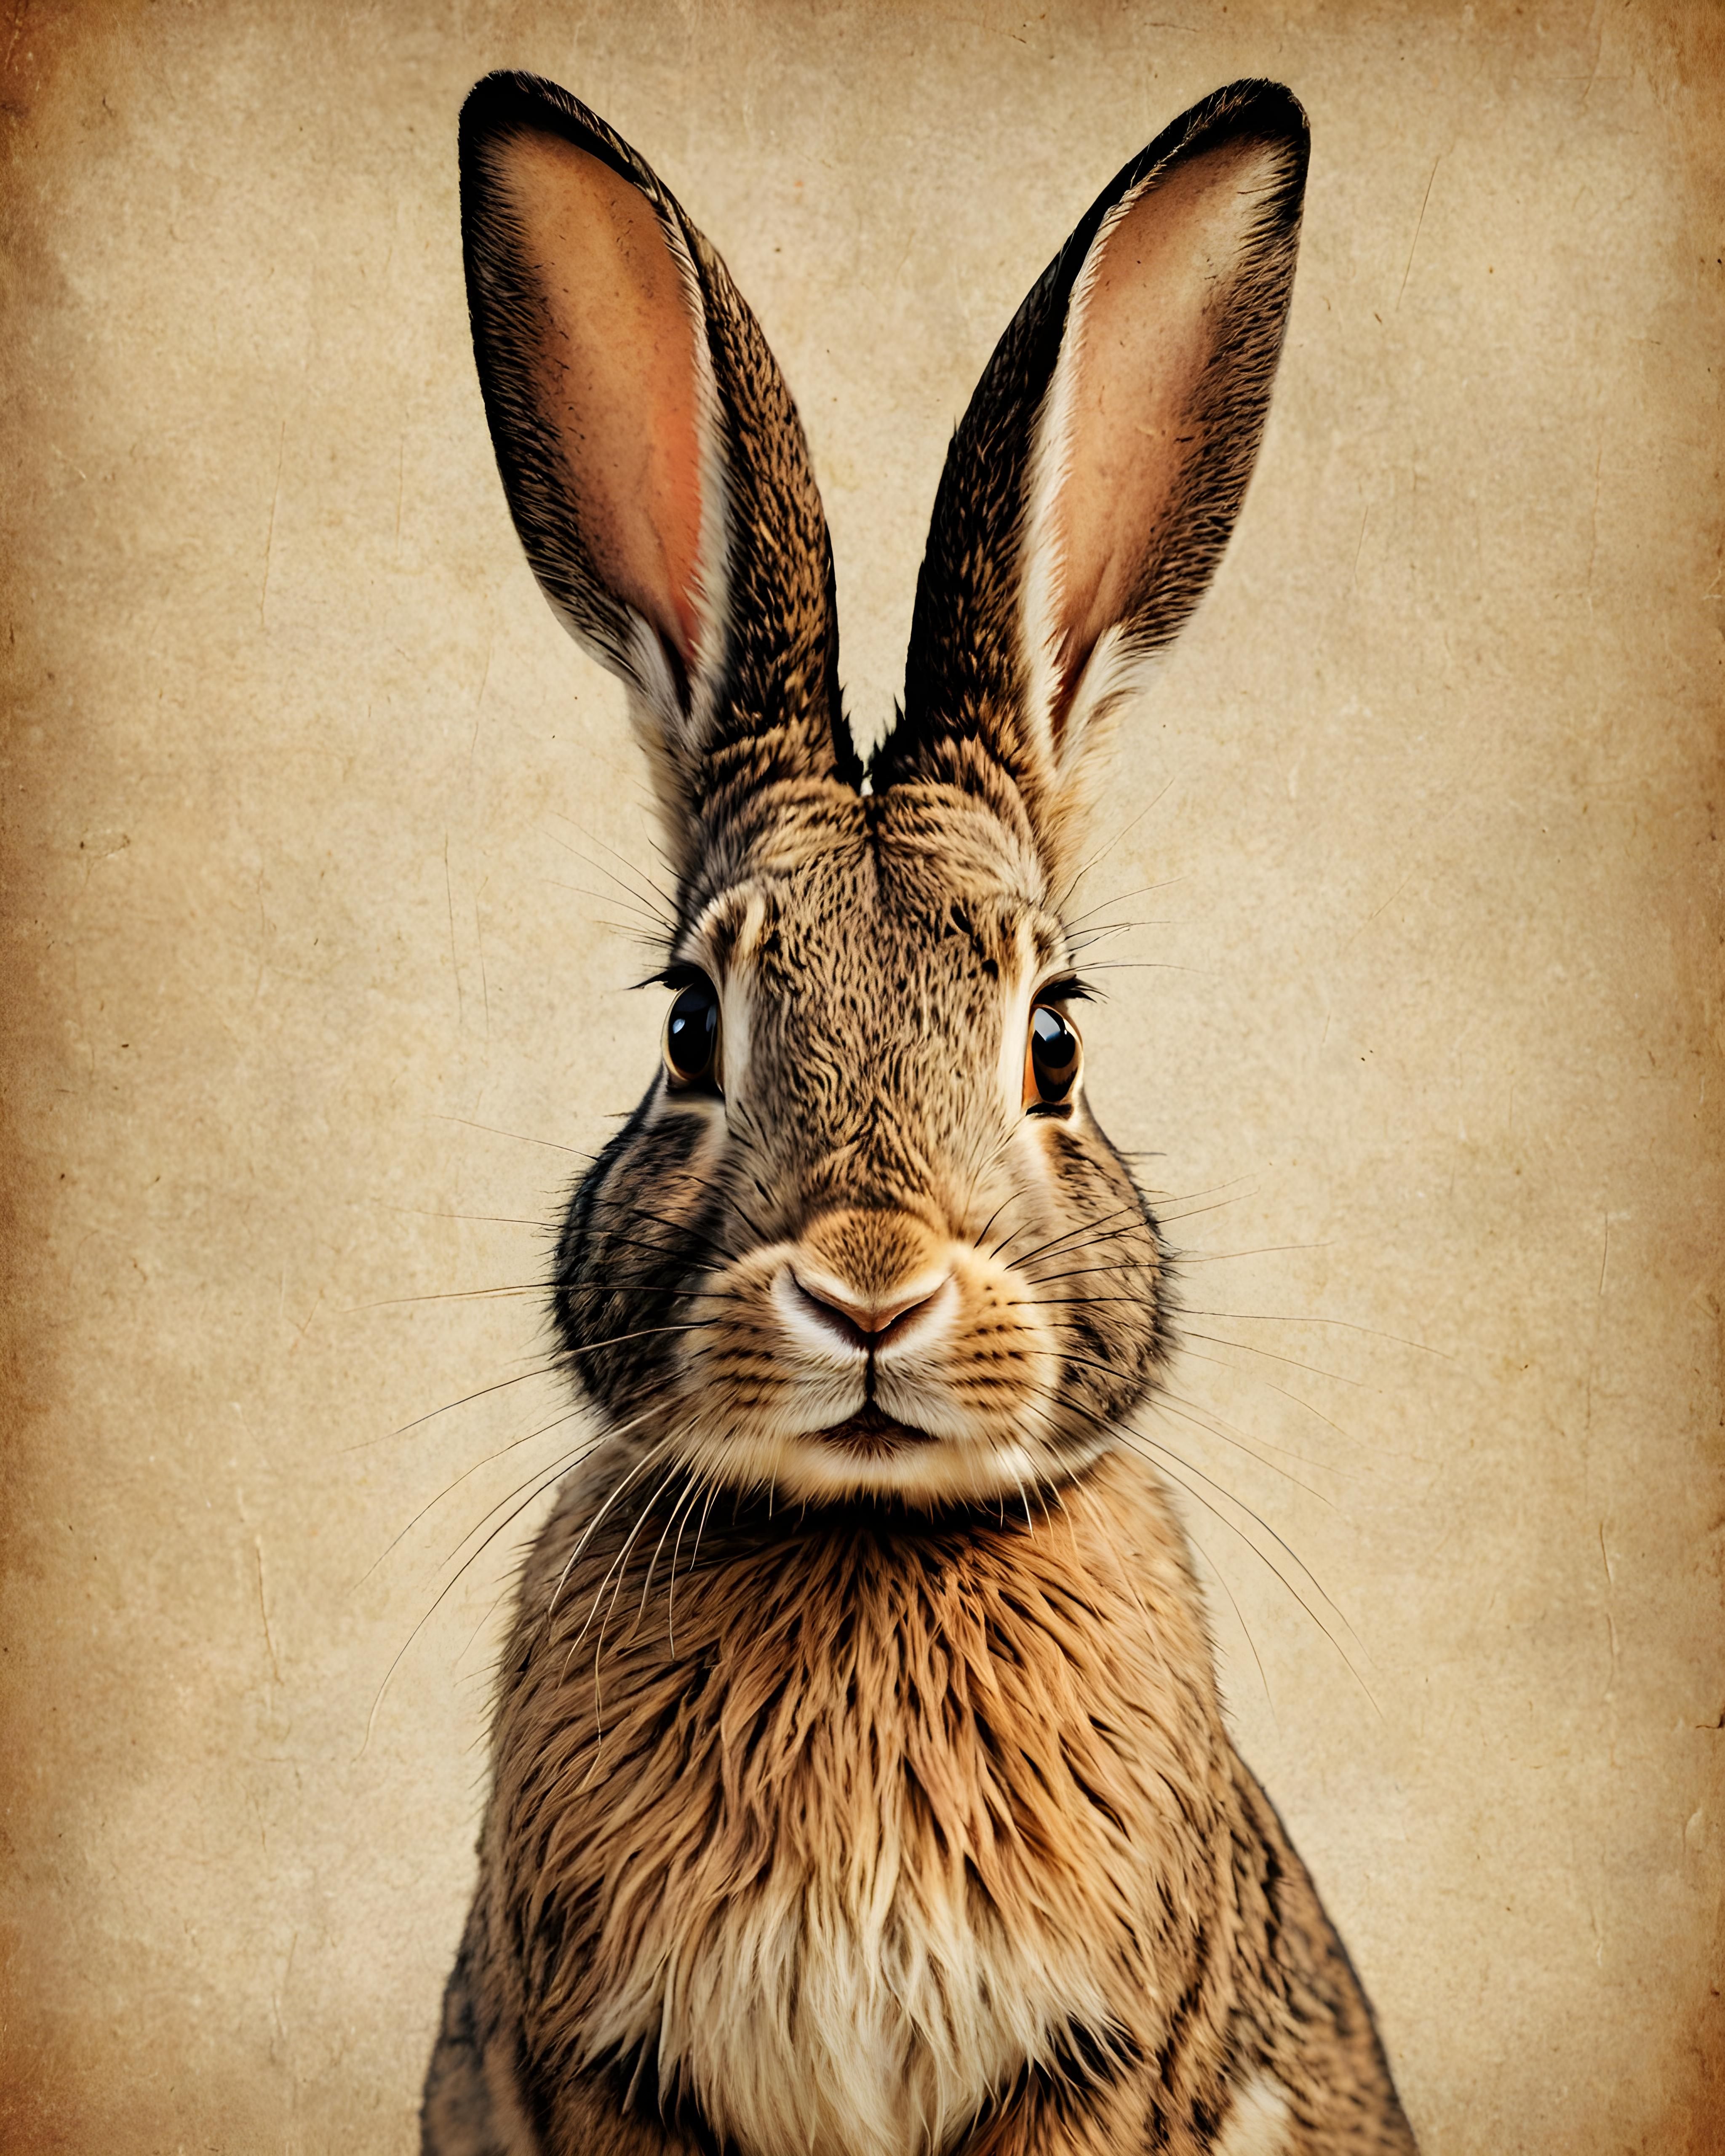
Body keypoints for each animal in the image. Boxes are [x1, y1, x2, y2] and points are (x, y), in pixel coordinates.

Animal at [423, 68, 1419, 2156]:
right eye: (688, 1025)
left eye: (1054, 1040)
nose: (872, 1287)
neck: (866, 1538)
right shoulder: (608, 2070)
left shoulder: (1093, 2064)